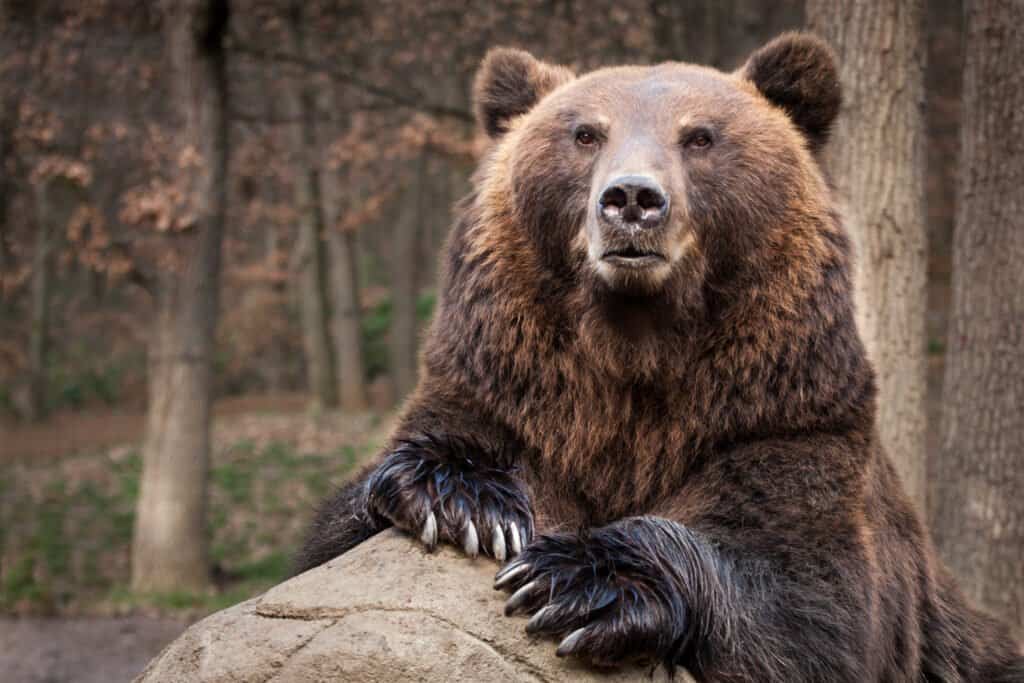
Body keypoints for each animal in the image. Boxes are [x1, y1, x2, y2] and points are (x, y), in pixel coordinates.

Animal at [299, 34, 1024, 679]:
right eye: (586, 133)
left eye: (699, 136)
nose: (632, 198)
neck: (636, 351)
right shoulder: (507, 389)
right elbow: (346, 523)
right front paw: (464, 501)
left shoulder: (782, 415)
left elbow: (807, 595)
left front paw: (576, 580)